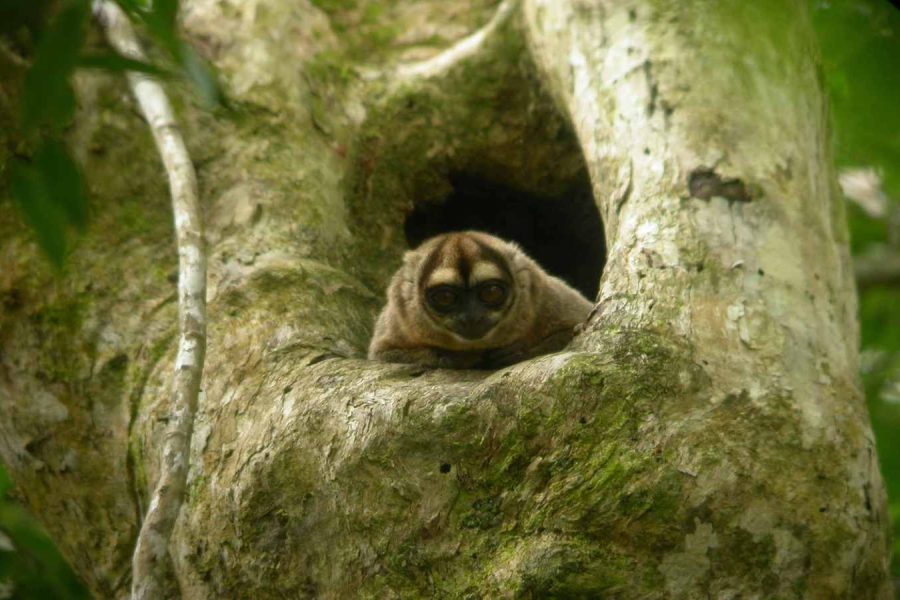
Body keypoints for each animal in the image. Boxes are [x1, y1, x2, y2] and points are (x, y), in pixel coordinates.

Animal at [368, 231, 593, 369]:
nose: (471, 317)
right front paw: (458, 358)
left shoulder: (545, 299)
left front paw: (516, 352)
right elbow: (381, 356)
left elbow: (576, 327)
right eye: (445, 297)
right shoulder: (399, 321)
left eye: (491, 292)